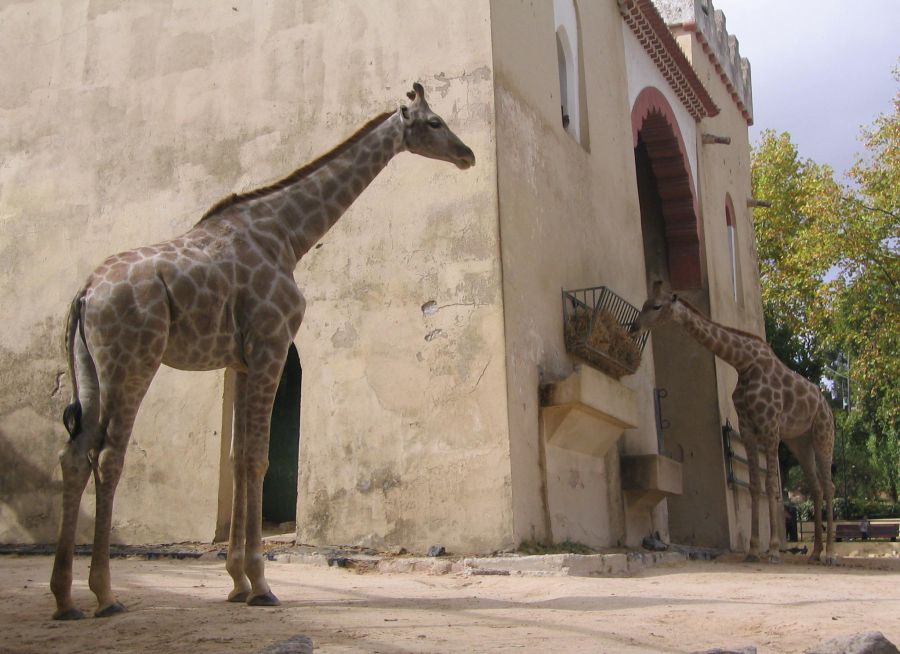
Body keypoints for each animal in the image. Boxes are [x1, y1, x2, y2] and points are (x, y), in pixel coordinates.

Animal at [51, 80, 474, 620]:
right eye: (435, 121)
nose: (468, 155)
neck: (289, 235)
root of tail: (85, 293)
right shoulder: (273, 345)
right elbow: (259, 458)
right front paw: (260, 583)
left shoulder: (241, 359)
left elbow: (237, 457)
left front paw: (235, 582)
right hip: (133, 361)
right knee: (108, 455)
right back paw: (104, 595)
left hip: (90, 367)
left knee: (73, 453)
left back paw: (64, 599)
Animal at [632, 284, 836, 568]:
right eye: (643, 303)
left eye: (657, 306)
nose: (634, 327)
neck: (743, 362)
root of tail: (827, 406)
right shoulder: (748, 427)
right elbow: (754, 486)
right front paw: (753, 550)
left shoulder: (770, 426)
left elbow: (771, 485)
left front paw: (773, 550)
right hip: (800, 441)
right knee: (816, 486)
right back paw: (815, 552)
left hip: (823, 435)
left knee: (829, 485)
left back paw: (830, 554)